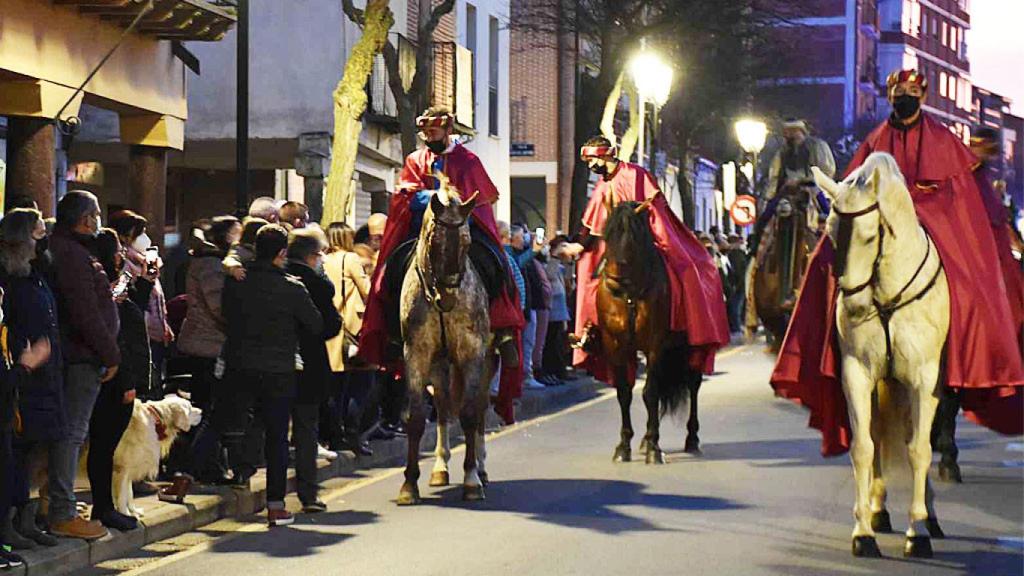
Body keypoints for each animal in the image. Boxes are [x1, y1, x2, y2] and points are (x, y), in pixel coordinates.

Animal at [395, 176, 495, 502]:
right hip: (440, 362)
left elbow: (469, 414)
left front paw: (471, 479)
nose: (447, 299)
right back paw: (440, 467)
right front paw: (409, 484)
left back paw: (482, 468)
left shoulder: (472, 351)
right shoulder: (416, 352)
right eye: (433, 240)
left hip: (488, 359)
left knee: (479, 407)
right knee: (442, 405)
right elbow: (415, 417)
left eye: (468, 242)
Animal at [598, 196, 704, 461]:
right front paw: (624, 446)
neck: (629, 293)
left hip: (692, 349)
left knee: (694, 384)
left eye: (633, 237)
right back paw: (645, 440)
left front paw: (655, 448)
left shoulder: (654, 345)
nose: (613, 281)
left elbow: (650, 392)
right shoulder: (614, 344)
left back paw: (691, 438)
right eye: (606, 234)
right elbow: (624, 392)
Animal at [815, 151, 950, 557]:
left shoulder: (924, 379)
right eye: (829, 231)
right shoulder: (857, 373)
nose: (854, 306)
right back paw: (878, 510)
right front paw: (862, 532)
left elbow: (919, 450)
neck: (887, 294)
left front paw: (917, 532)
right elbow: (863, 446)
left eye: (870, 235)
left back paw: (928, 515)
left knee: (917, 438)